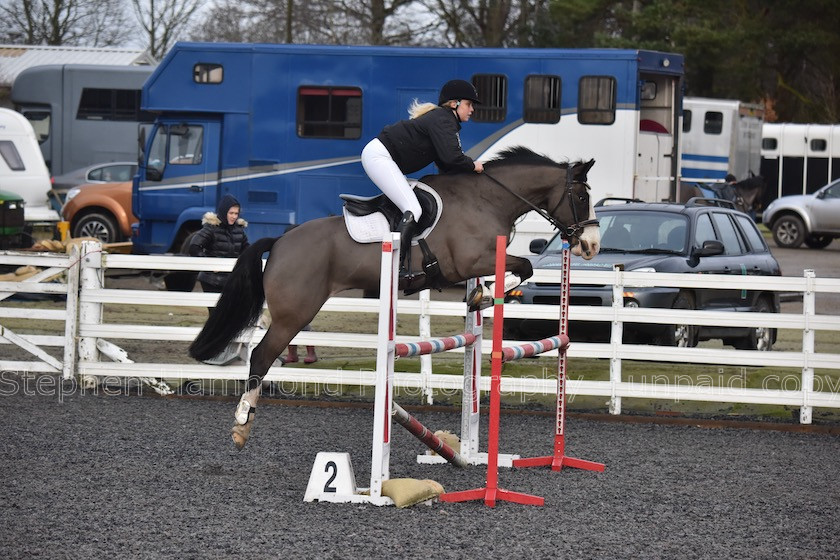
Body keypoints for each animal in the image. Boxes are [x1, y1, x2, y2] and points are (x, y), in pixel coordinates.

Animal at [187, 147, 600, 448]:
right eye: (581, 196)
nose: (592, 245)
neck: (487, 198)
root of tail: (281, 241)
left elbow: (518, 268)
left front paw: (478, 296)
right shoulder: (469, 261)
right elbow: (524, 266)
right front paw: (484, 298)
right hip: (295, 313)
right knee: (261, 355)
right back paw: (242, 424)